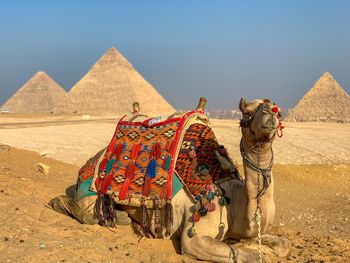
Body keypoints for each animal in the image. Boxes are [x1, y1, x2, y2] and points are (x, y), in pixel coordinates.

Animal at [49, 98, 290, 262]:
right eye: (248, 111)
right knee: (83, 212)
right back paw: (59, 204)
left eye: (278, 110)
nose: (271, 113)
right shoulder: (195, 234)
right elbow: (251, 256)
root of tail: (86, 166)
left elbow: (283, 244)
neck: (233, 198)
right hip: (90, 194)